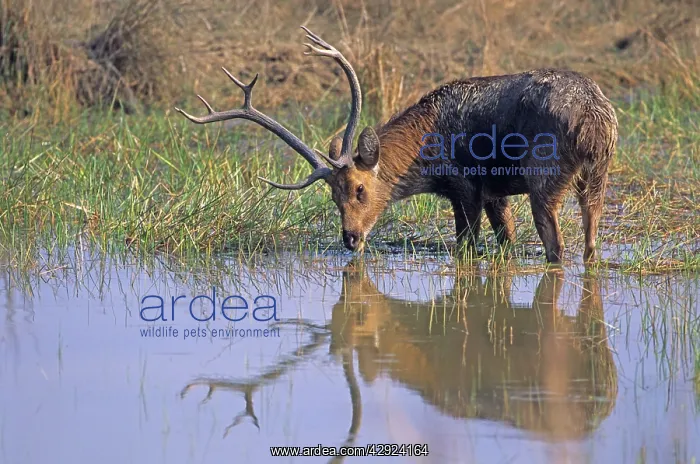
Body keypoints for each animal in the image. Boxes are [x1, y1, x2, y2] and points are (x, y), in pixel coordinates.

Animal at [175, 27, 618, 264]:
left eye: (359, 189)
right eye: (332, 196)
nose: (351, 238)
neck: (426, 157)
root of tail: (595, 121)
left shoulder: (466, 185)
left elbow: (467, 246)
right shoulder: (494, 192)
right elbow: (505, 240)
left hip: (545, 173)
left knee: (556, 244)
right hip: (598, 174)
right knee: (590, 238)